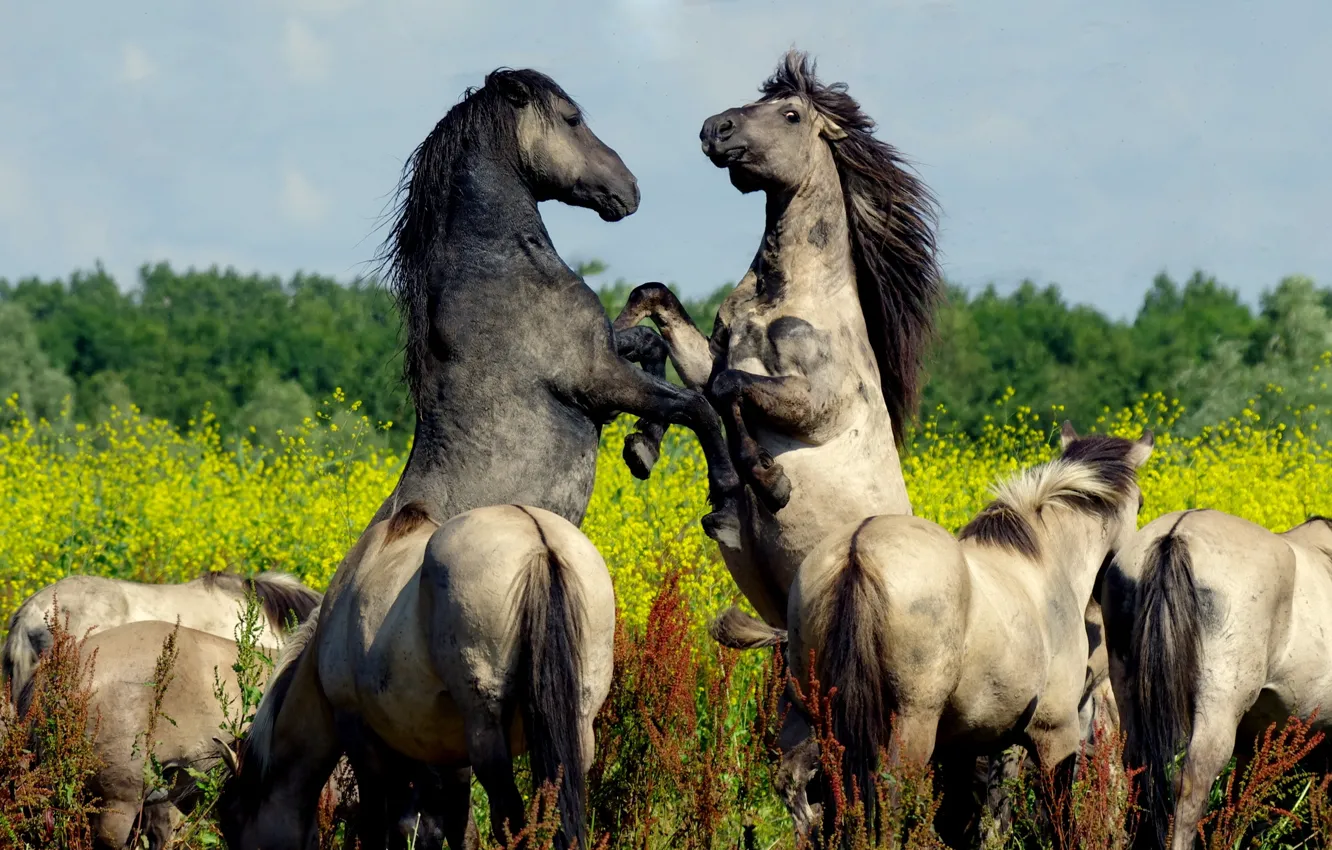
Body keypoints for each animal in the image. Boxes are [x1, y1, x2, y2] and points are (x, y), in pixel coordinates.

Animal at [215, 503, 615, 850]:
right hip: (575, 736)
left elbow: (380, 824)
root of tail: (538, 540)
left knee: (510, 823)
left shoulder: (359, 732)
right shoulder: (450, 755)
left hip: (487, 736)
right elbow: (457, 829)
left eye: (232, 820)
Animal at [777, 428, 1156, 842]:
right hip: (910, 728)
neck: (1045, 561)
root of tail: (856, 549)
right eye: (1140, 504)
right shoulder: (1055, 732)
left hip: (828, 725)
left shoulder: (962, 745)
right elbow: (1059, 819)